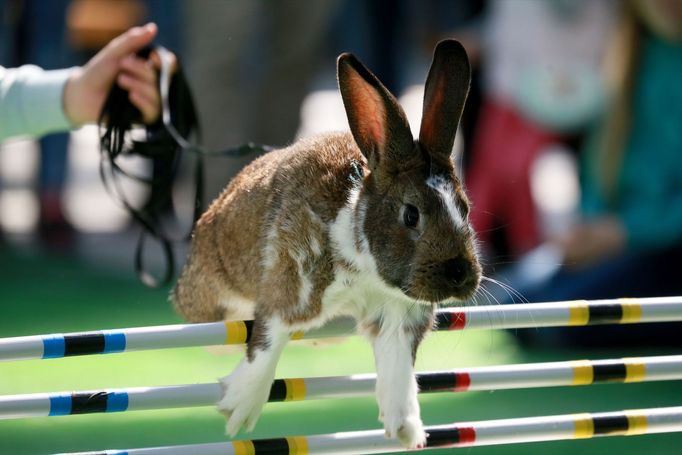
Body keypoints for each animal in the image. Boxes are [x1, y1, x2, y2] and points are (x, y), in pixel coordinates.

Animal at [173, 38, 480, 448]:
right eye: (411, 214)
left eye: (465, 208)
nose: (460, 273)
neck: (365, 265)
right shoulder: (291, 285)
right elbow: (268, 342)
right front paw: (239, 408)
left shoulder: (397, 319)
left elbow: (398, 372)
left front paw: (405, 430)